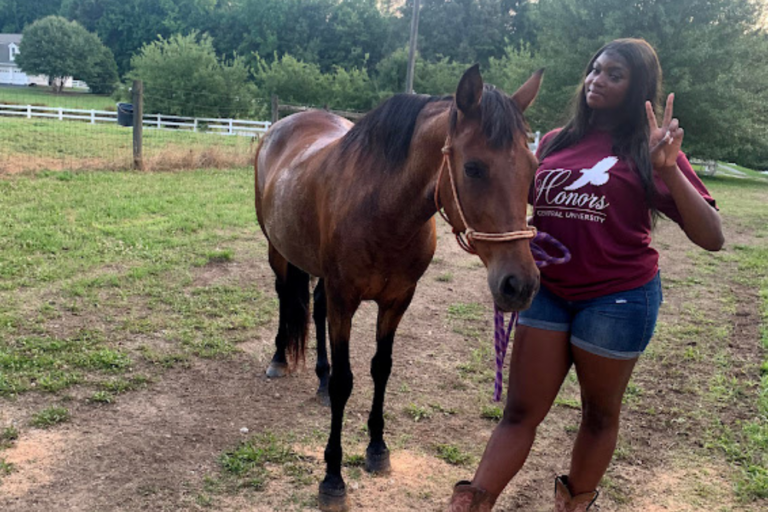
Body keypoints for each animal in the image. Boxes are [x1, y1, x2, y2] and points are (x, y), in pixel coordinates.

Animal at [254, 65, 542, 511]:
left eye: (532, 167)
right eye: (474, 168)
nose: (520, 285)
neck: (382, 208)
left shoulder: (396, 301)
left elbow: (381, 369)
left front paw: (377, 449)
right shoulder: (345, 299)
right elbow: (346, 381)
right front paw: (333, 477)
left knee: (314, 309)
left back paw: (318, 380)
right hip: (278, 251)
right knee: (286, 299)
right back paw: (280, 359)